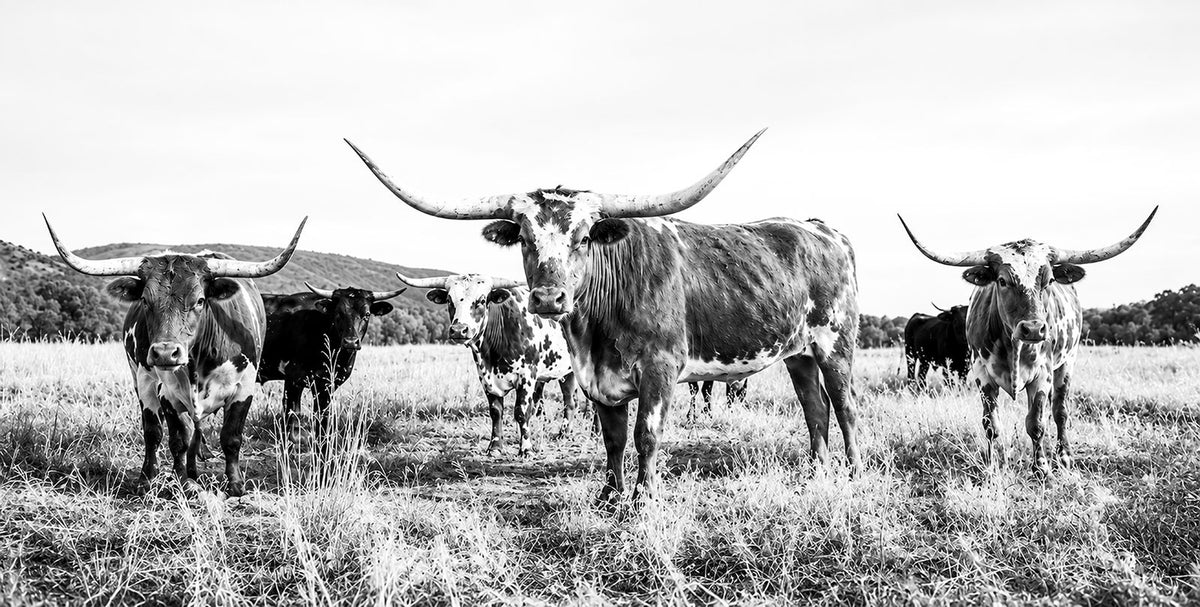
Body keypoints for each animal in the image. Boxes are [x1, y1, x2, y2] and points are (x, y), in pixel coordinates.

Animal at [43, 215, 306, 496]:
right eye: (145, 300)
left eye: (200, 300)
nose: (165, 353)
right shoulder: (164, 390)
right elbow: (176, 438)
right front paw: (179, 480)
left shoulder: (243, 387)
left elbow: (231, 437)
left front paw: (235, 484)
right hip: (142, 382)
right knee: (156, 431)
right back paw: (157, 474)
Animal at [258, 283, 406, 445]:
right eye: (338, 313)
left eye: (367, 314)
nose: (351, 342)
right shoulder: (292, 379)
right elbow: (291, 420)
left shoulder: (326, 385)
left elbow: (322, 420)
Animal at [395, 272, 576, 456]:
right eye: (449, 300)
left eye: (482, 300)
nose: (459, 330)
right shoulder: (486, 377)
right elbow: (496, 411)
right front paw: (495, 446)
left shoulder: (526, 376)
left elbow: (521, 411)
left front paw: (525, 448)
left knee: (569, 402)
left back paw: (567, 433)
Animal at [898, 208, 1157, 474]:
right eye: (1002, 281)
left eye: (1049, 281)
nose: (1033, 328)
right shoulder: (981, 374)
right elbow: (991, 424)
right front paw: (992, 465)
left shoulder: (1042, 375)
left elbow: (1036, 423)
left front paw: (1041, 467)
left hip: (1067, 364)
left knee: (1060, 410)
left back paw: (1064, 455)